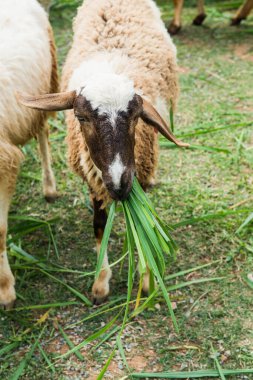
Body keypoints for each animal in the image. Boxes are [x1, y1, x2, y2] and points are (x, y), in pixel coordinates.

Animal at [18, 0, 188, 304]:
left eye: (135, 117)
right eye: (81, 117)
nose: (119, 185)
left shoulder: (137, 175)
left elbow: (144, 229)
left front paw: (146, 282)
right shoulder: (94, 180)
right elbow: (99, 225)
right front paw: (100, 284)